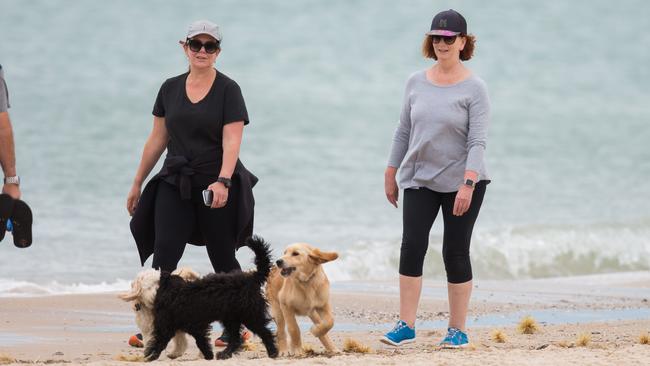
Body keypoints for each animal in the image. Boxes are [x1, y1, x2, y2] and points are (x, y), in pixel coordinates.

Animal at [143, 237, 278, 360]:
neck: (173, 294)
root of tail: (251, 278)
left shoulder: (184, 326)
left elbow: (195, 341)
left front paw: (151, 355)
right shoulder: (185, 326)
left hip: (250, 315)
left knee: (265, 333)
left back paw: (273, 352)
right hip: (231, 318)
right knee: (236, 339)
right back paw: (225, 354)